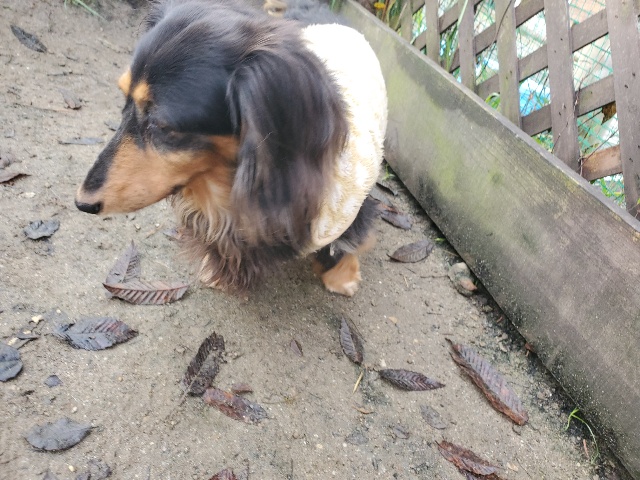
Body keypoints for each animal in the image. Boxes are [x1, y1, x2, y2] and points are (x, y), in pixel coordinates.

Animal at [75, 0, 387, 296]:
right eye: (124, 100)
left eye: (162, 125)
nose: (82, 203)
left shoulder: (351, 204)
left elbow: (350, 241)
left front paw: (342, 276)